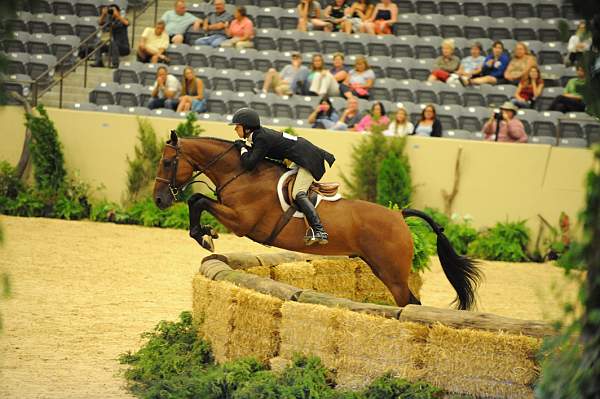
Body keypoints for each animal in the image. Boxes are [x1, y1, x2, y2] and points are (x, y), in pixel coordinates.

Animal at [155, 133, 482, 310]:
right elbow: (197, 200)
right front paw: (205, 233)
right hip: (381, 268)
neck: (241, 172)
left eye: (168, 162)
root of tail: (398, 215)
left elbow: (198, 200)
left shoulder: (242, 222)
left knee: (409, 303)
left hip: (393, 273)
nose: (159, 200)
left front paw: (204, 235)